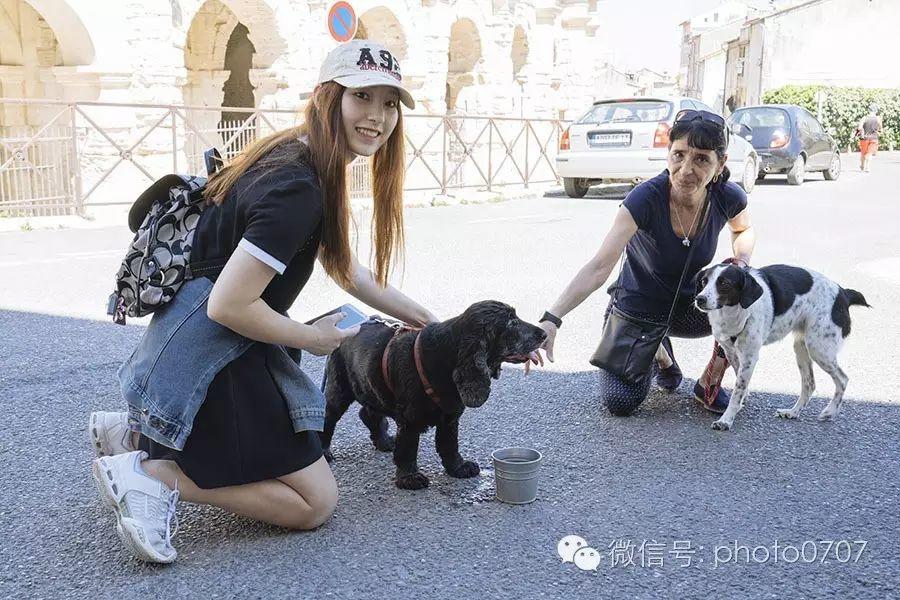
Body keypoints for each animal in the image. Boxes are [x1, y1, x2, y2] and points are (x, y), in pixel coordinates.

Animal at [692, 264, 868, 432]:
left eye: (724, 283)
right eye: (704, 281)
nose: (699, 299)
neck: (735, 312)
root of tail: (843, 293)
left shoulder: (749, 358)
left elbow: (737, 392)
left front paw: (726, 420)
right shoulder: (731, 353)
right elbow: (740, 386)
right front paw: (739, 405)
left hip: (819, 348)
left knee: (842, 379)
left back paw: (830, 411)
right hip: (801, 348)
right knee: (809, 384)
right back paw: (793, 412)